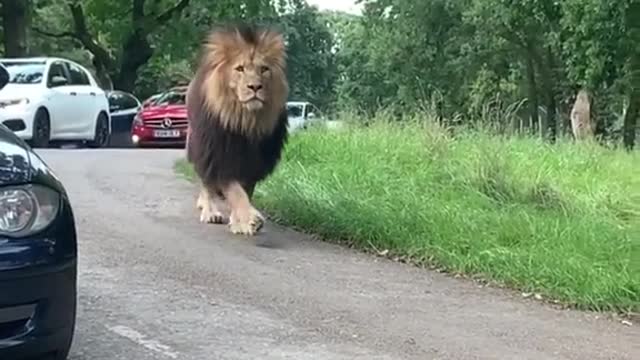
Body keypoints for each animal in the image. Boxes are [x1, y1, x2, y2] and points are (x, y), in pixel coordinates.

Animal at [185, 23, 290, 236]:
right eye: (240, 69)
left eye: (264, 69)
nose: (255, 87)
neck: (245, 121)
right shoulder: (219, 156)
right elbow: (235, 192)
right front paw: (251, 219)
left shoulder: (253, 161)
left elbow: (246, 191)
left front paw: (238, 222)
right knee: (206, 184)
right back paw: (210, 212)